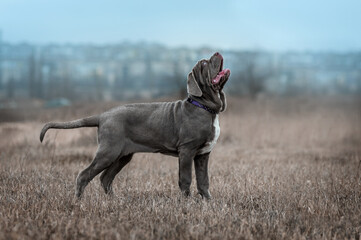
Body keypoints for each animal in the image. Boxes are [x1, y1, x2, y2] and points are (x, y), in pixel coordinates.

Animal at [39, 52, 231, 199]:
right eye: (204, 63)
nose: (217, 52)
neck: (205, 108)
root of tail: (102, 116)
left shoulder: (203, 154)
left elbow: (203, 181)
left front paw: (207, 201)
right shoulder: (187, 150)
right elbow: (186, 179)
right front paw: (187, 202)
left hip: (123, 155)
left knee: (105, 178)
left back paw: (115, 200)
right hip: (108, 151)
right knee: (84, 175)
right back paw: (78, 201)